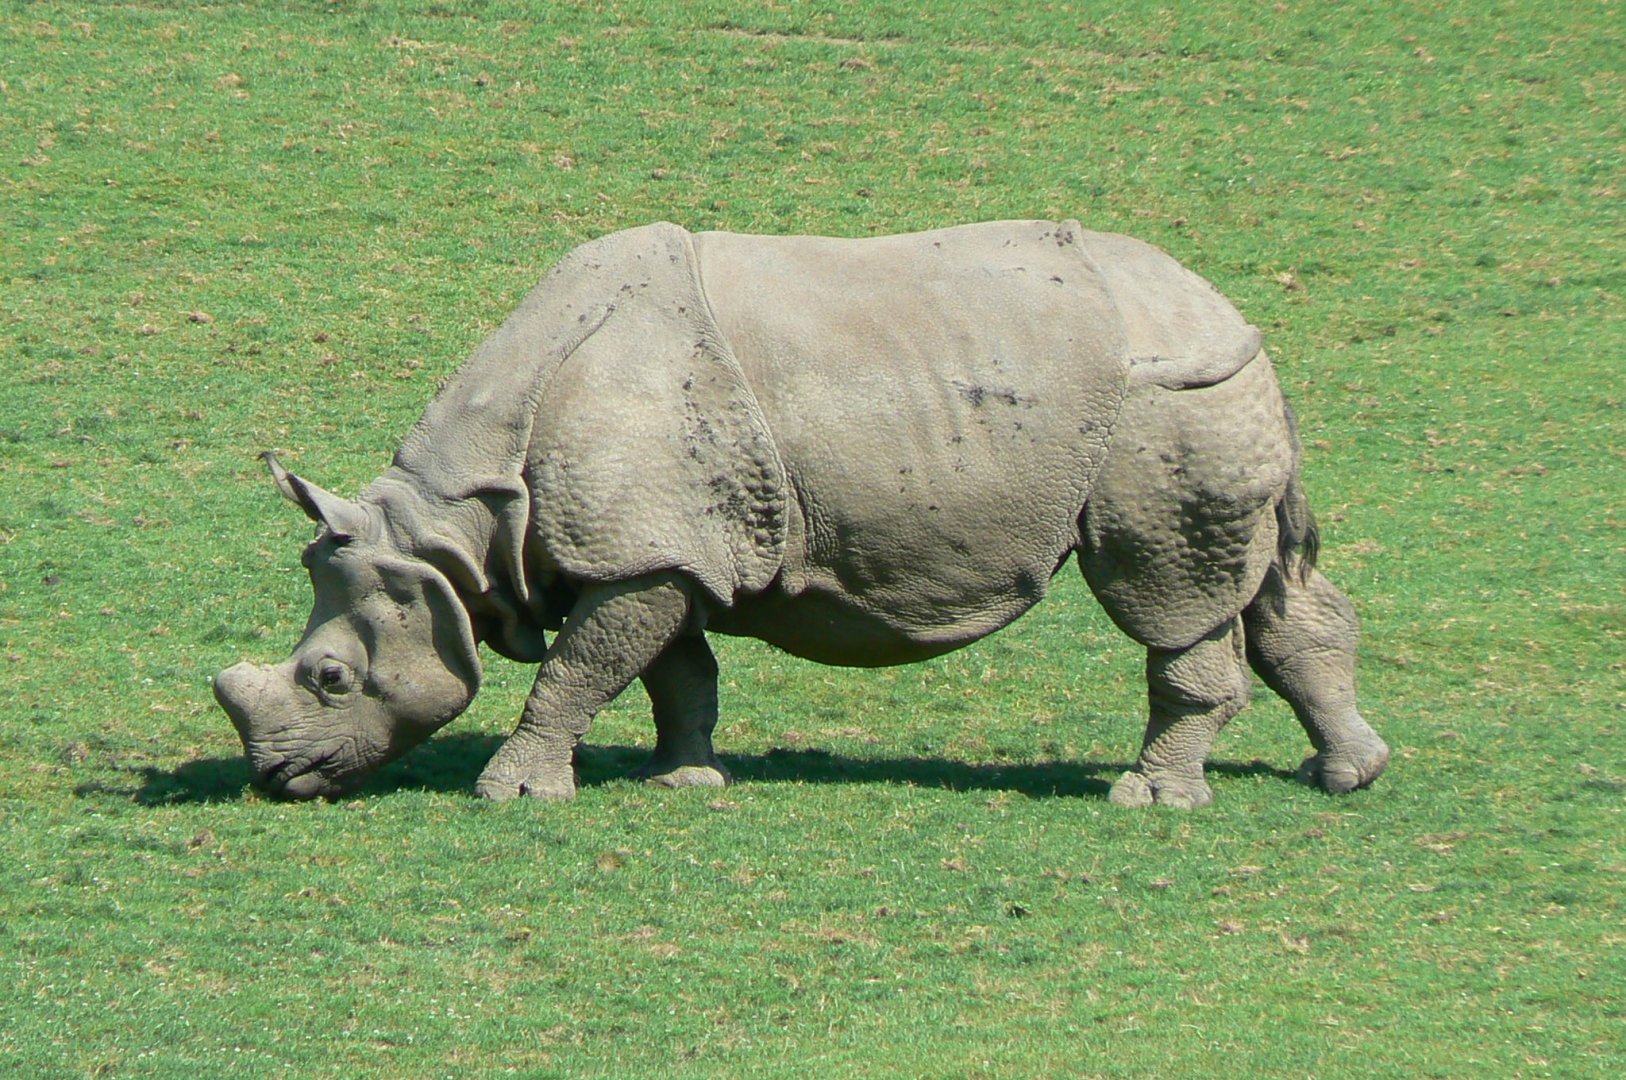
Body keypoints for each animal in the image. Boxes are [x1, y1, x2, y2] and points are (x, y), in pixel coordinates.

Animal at [213, 219, 1389, 807]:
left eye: (329, 679)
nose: (276, 781)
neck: (454, 529)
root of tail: (1227, 309)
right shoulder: (670, 547)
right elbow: (671, 668)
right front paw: (685, 780)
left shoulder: (643, 549)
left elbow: (578, 669)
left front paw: (515, 794)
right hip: (1207, 392)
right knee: (1265, 587)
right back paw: (1345, 777)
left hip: (1161, 402)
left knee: (1168, 597)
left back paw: (1148, 802)